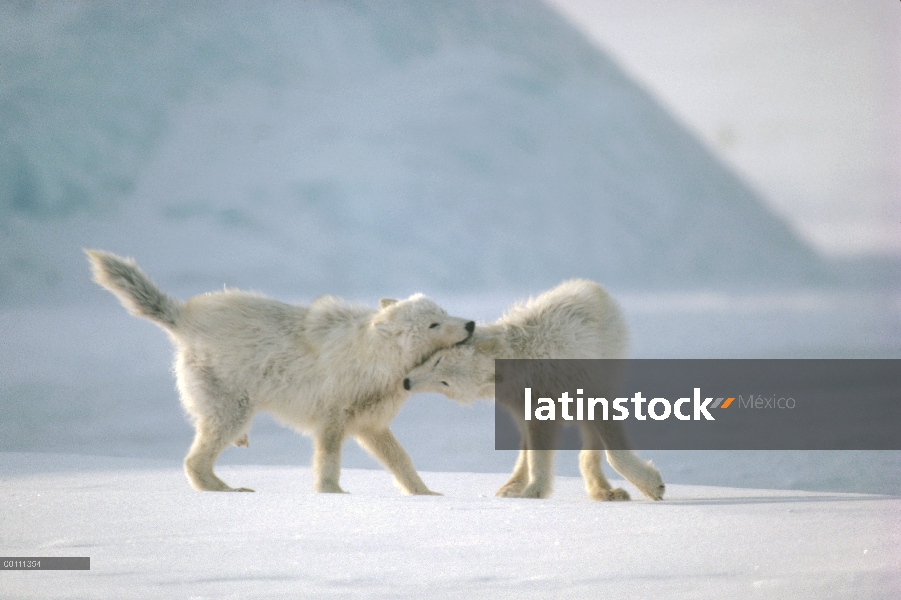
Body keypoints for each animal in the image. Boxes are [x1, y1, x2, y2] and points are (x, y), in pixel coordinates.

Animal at [87, 251, 474, 494]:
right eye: (433, 324)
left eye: (443, 311)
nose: (470, 324)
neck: (375, 361)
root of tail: (183, 315)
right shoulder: (332, 420)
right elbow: (328, 461)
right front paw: (331, 493)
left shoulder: (371, 425)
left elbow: (402, 462)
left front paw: (425, 494)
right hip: (233, 411)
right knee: (194, 461)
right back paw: (228, 489)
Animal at [404, 280, 664, 502]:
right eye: (436, 361)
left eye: (443, 382)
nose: (406, 382)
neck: (525, 361)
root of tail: (587, 285)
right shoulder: (534, 409)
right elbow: (536, 456)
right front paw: (532, 492)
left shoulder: (587, 394)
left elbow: (614, 453)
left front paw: (652, 485)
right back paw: (513, 486)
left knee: (587, 448)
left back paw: (603, 491)